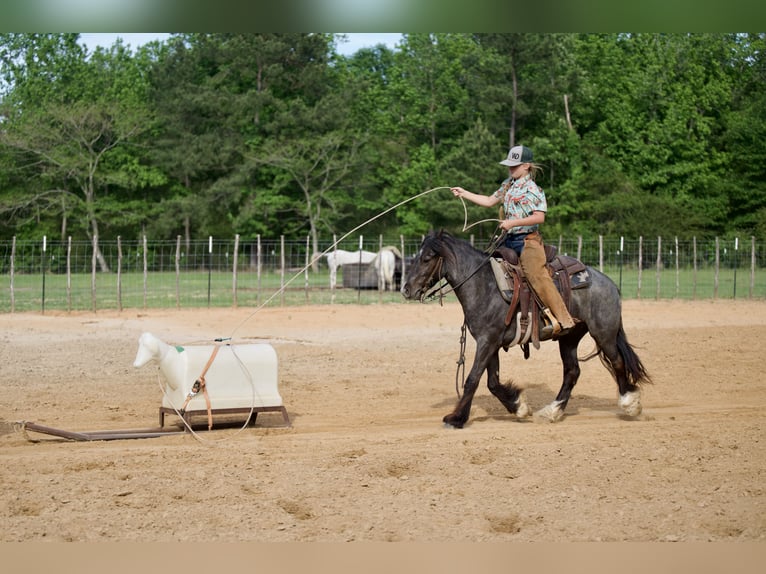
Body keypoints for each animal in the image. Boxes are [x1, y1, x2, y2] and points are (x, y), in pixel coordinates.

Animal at [400, 230, 651, 428]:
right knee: (572, 371)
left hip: (603, 333)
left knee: (617, 362)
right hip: (569, 337)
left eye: (427, 258)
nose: (406, 289)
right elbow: (492, 382)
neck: (484, 285)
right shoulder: (490, 342)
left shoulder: (487, 341)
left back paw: (630, 404)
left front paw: (456, 418)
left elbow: (472, 379)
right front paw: (518, 406)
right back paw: (552, 412)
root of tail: (609, 283)